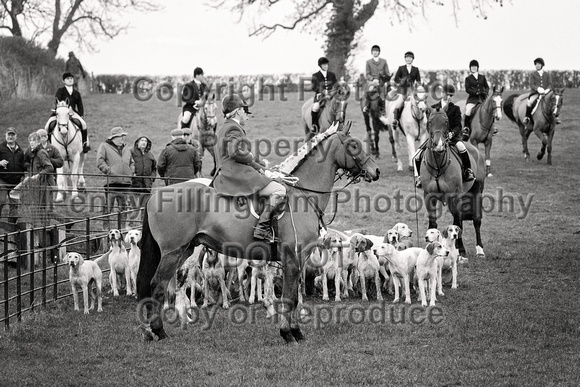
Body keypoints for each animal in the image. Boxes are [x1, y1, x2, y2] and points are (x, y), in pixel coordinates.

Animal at [137, 123, 380, 344]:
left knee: (167, 285)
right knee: (157, 285)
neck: (302, 195)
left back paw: (155, 329)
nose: (376, 171)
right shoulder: (292, 258)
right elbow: (289, 297)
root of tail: (156, 195)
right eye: (353, 145)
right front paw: (287, 333)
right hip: (172, 252)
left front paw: (295, 331)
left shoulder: (297, 259)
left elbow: (292, 296)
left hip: (183, 251)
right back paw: (158, 331)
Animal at [420, 109, 488, 258]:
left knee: (475, 220)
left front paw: (460, 250)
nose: (439, 145)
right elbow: (433, 223)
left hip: (476, 190)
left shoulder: (453, 196)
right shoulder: (429, 196)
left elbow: (457, 223)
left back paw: (479, 249)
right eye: (430, 122)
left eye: (446, 122)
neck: (438, 165)